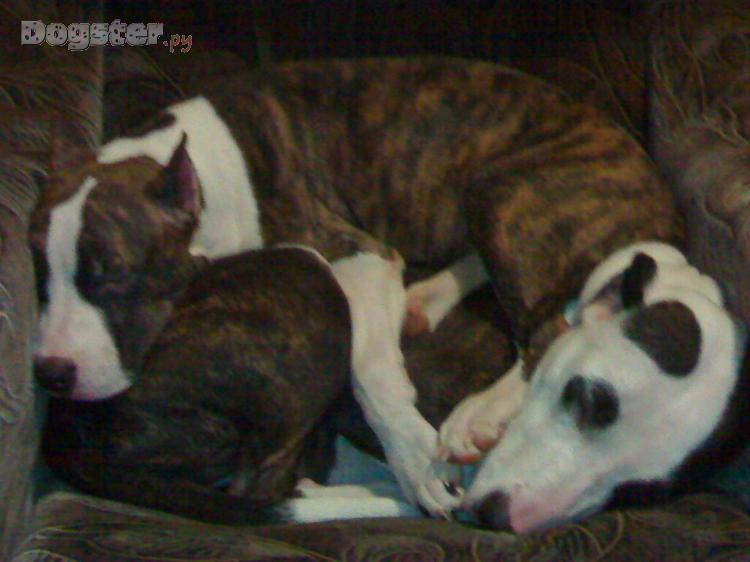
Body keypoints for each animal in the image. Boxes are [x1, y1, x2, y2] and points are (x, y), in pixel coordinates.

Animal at [30, 57, 680, 519]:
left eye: (113, 276)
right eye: (39, 276)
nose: (51, 374)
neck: (199, 179)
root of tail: (655, 189)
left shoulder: (354, 251)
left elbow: (369, 370)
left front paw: (416, 460)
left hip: (499, 191)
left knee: (546, 331)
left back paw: (476, 417)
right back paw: (424, 302)